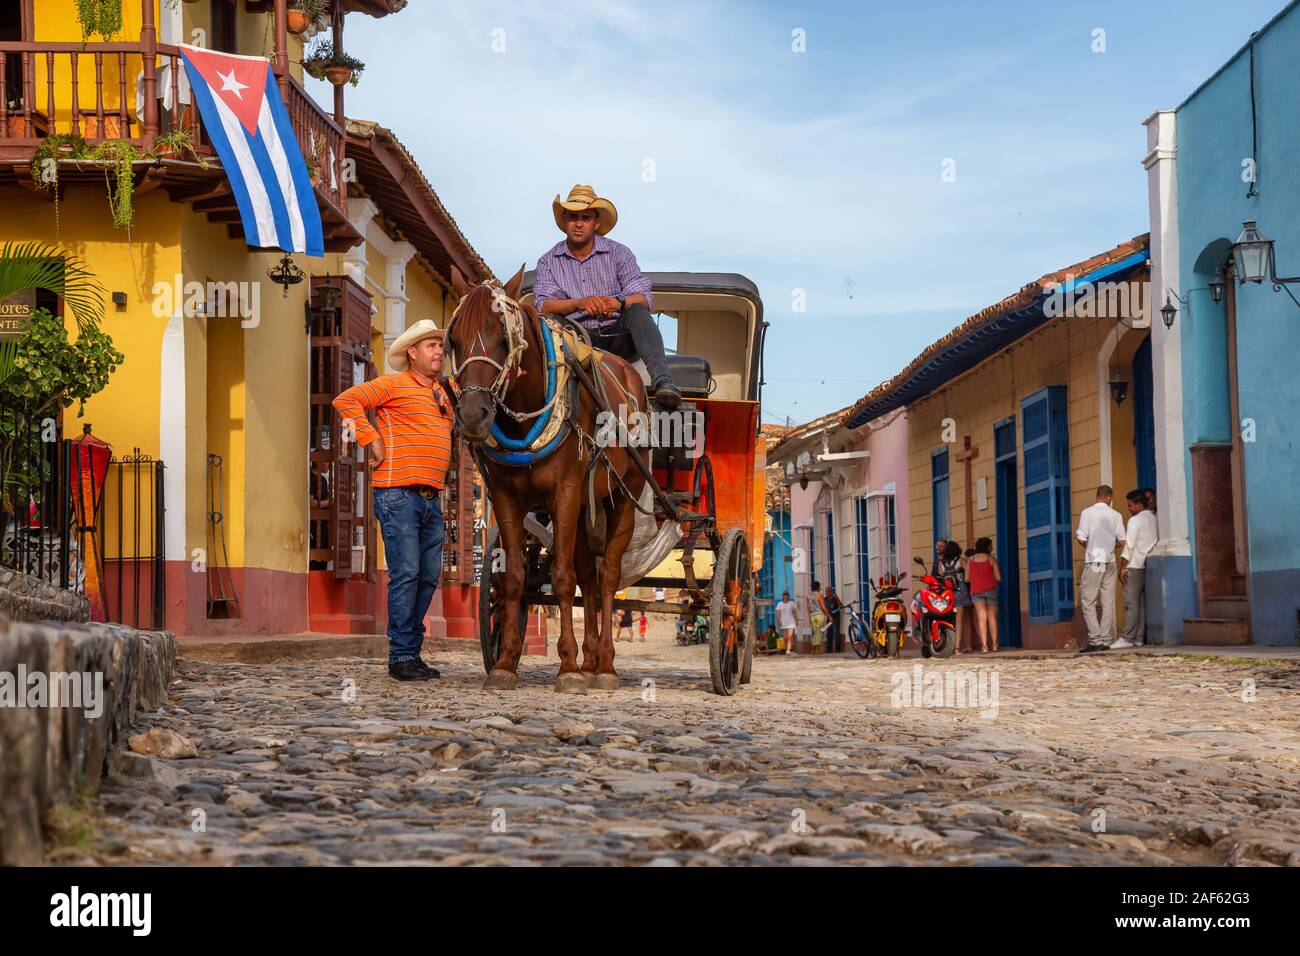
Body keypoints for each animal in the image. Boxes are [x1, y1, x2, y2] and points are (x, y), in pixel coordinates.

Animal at [447, 265, 650, 691]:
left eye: (503, 339)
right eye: (453, 339)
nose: (472, 416)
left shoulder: (566, 493)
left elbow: (560, 579)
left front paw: (568, 668)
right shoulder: (506, 497)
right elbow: (514, 579)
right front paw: (506, 662)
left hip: (623, 495)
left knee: (608, 577)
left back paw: (604, 667)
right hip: (585, 509)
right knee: (589, 578)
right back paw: (591, 659)